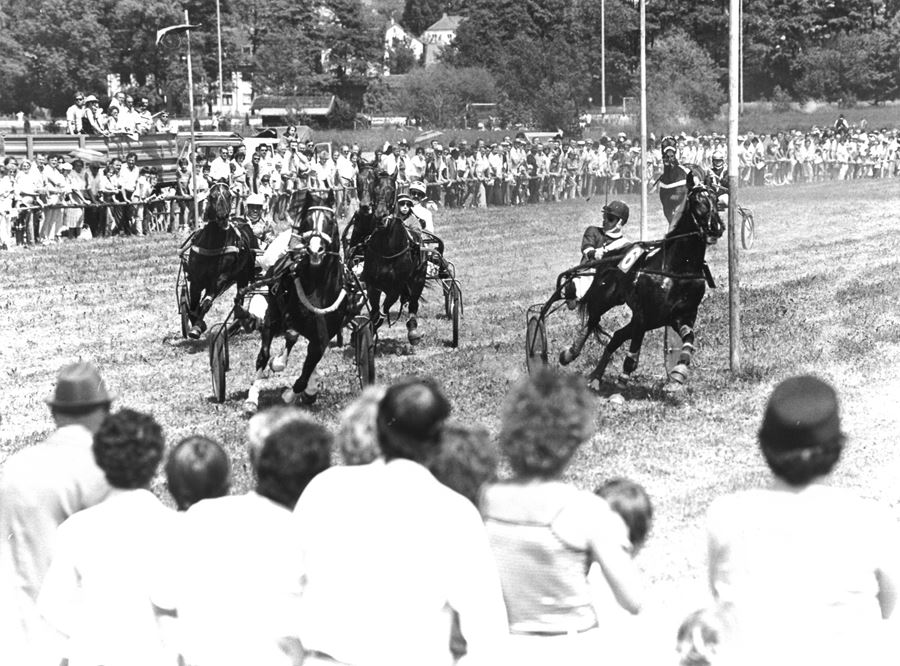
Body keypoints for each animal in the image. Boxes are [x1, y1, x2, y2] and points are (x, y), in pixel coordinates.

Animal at [183, 180, 258, 338]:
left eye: (229, 195)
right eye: (212, 196)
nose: (223, 217)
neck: (212, 244)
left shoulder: (219, 279)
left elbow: (206, 303)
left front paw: (197, 327)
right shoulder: (196, 279)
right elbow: (193, 306)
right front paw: (196, 323)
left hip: (243, 276)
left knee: (239, 298)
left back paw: (235, 324)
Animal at [244, 189, 360, 412]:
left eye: (331, 220)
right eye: (307, 220)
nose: (316, 250)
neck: (318, 287)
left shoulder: (324, 334)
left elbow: (307, 369)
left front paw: (295, 393)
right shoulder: (278, 318)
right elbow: (271, 350)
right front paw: (255, 396)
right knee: (277, 346)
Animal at [564, 182, 724, 390]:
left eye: (715, 199)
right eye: (697, 201)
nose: (717, 227)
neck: (678, 270)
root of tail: (610, 255)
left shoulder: (681, 316)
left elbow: (689, 339)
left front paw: (678, 373)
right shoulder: (643, 314)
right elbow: (632, 357)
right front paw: (621, 384)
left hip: (651, 321)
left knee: (616, 336)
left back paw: (595, 377)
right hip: (605, 301)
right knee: (592, 322)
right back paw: (571, 354)